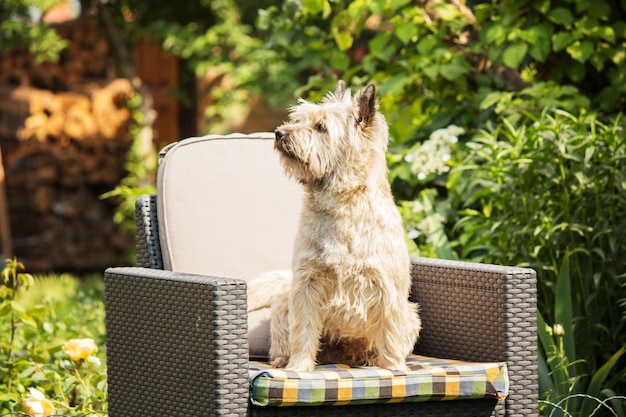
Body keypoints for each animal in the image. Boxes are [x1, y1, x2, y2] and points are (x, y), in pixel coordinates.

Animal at [246, 81, 416, 370]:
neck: (340, 204)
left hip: (413, 316)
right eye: (300, 119)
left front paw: (394, 368)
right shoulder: (307, 282)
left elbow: (390, 333)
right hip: (284, 303)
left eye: (321, 127)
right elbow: (303, 331)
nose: (279, 133)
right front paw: (299, 368)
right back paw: (283, 360)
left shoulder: (388, 287)